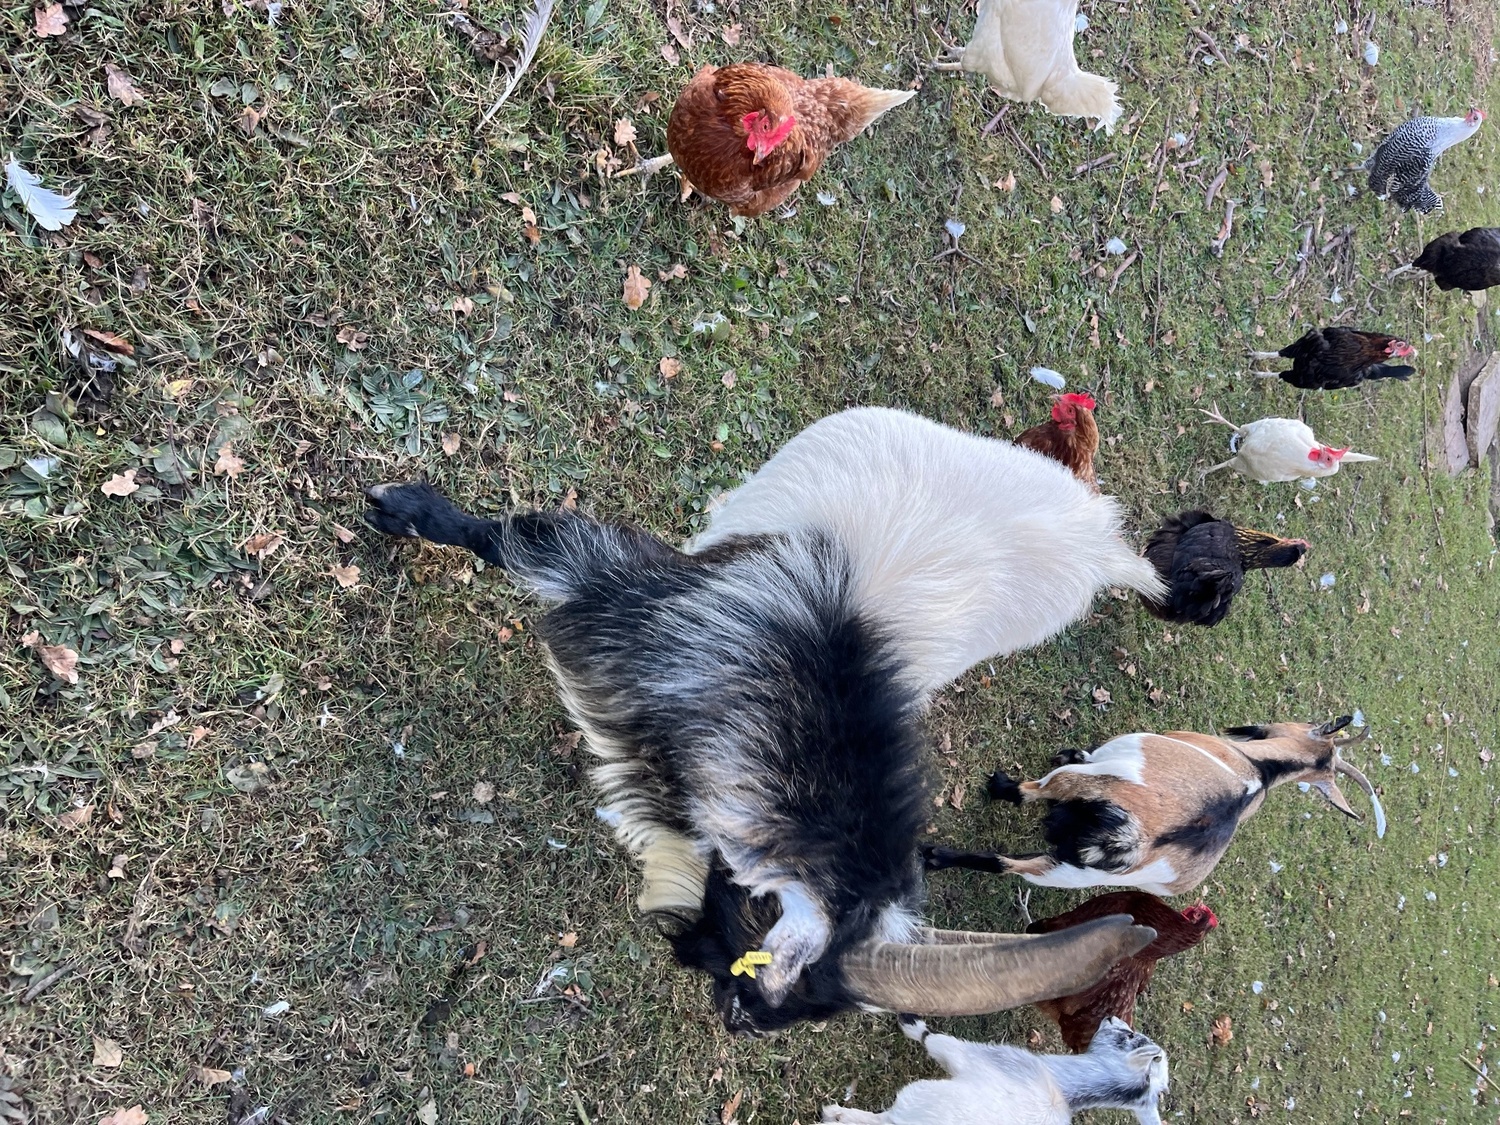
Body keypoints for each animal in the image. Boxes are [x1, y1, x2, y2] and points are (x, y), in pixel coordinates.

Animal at [822, 1015, 1169, 1125]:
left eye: (1130, 1037)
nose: (1110, 1017)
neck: (1064, 1090)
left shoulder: (976, 1058)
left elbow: (934, 1040)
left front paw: (911, 1023)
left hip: (916, 1100)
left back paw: (834, 1114)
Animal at [924, 717, 1385, 895]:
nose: (1244, 729)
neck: (1259, 769)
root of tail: (1136, 842)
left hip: (1092, 786)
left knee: (1031, 795)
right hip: (1072, 875)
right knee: (1010, 865)